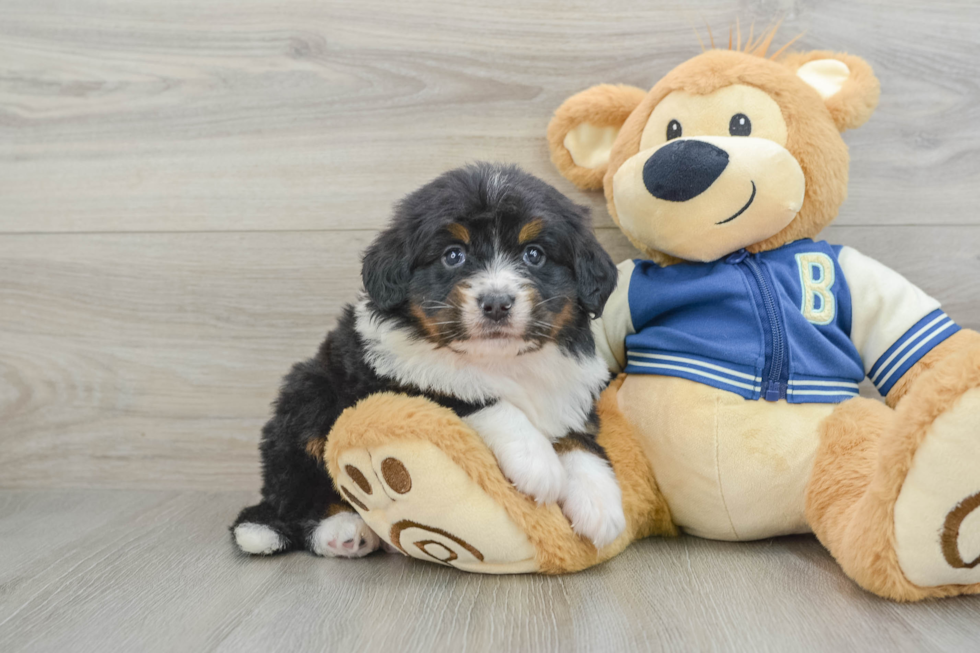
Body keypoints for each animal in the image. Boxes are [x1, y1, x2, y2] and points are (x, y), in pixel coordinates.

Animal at [234, 162, 624, 556]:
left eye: (534, 254)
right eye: (453, 255)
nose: (496, 303)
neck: (501, 361)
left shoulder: (569, 387)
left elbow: (579, 438)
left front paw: (600, 502)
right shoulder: (392, 377)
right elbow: (471, 394)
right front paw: (537, 462)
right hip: (309, 397)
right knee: (295, 495)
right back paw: (336, 529)